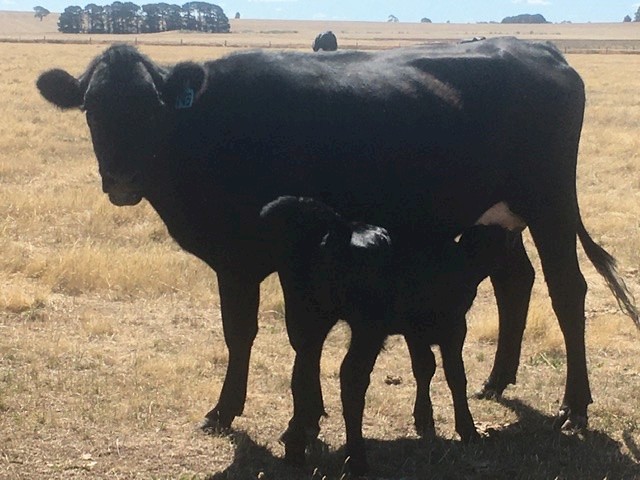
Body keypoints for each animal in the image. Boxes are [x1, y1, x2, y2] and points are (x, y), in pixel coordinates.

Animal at [260, 196, 510, 474]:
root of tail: (340, 233)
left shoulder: (415, 332)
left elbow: (424, 367)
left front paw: (424, 418)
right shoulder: (454, 326)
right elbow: (455, 375)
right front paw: (468, 430)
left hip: (309, 317)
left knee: (303, 373)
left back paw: (295, 451)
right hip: (368, 329)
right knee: (352, 378)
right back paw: (357, 460)